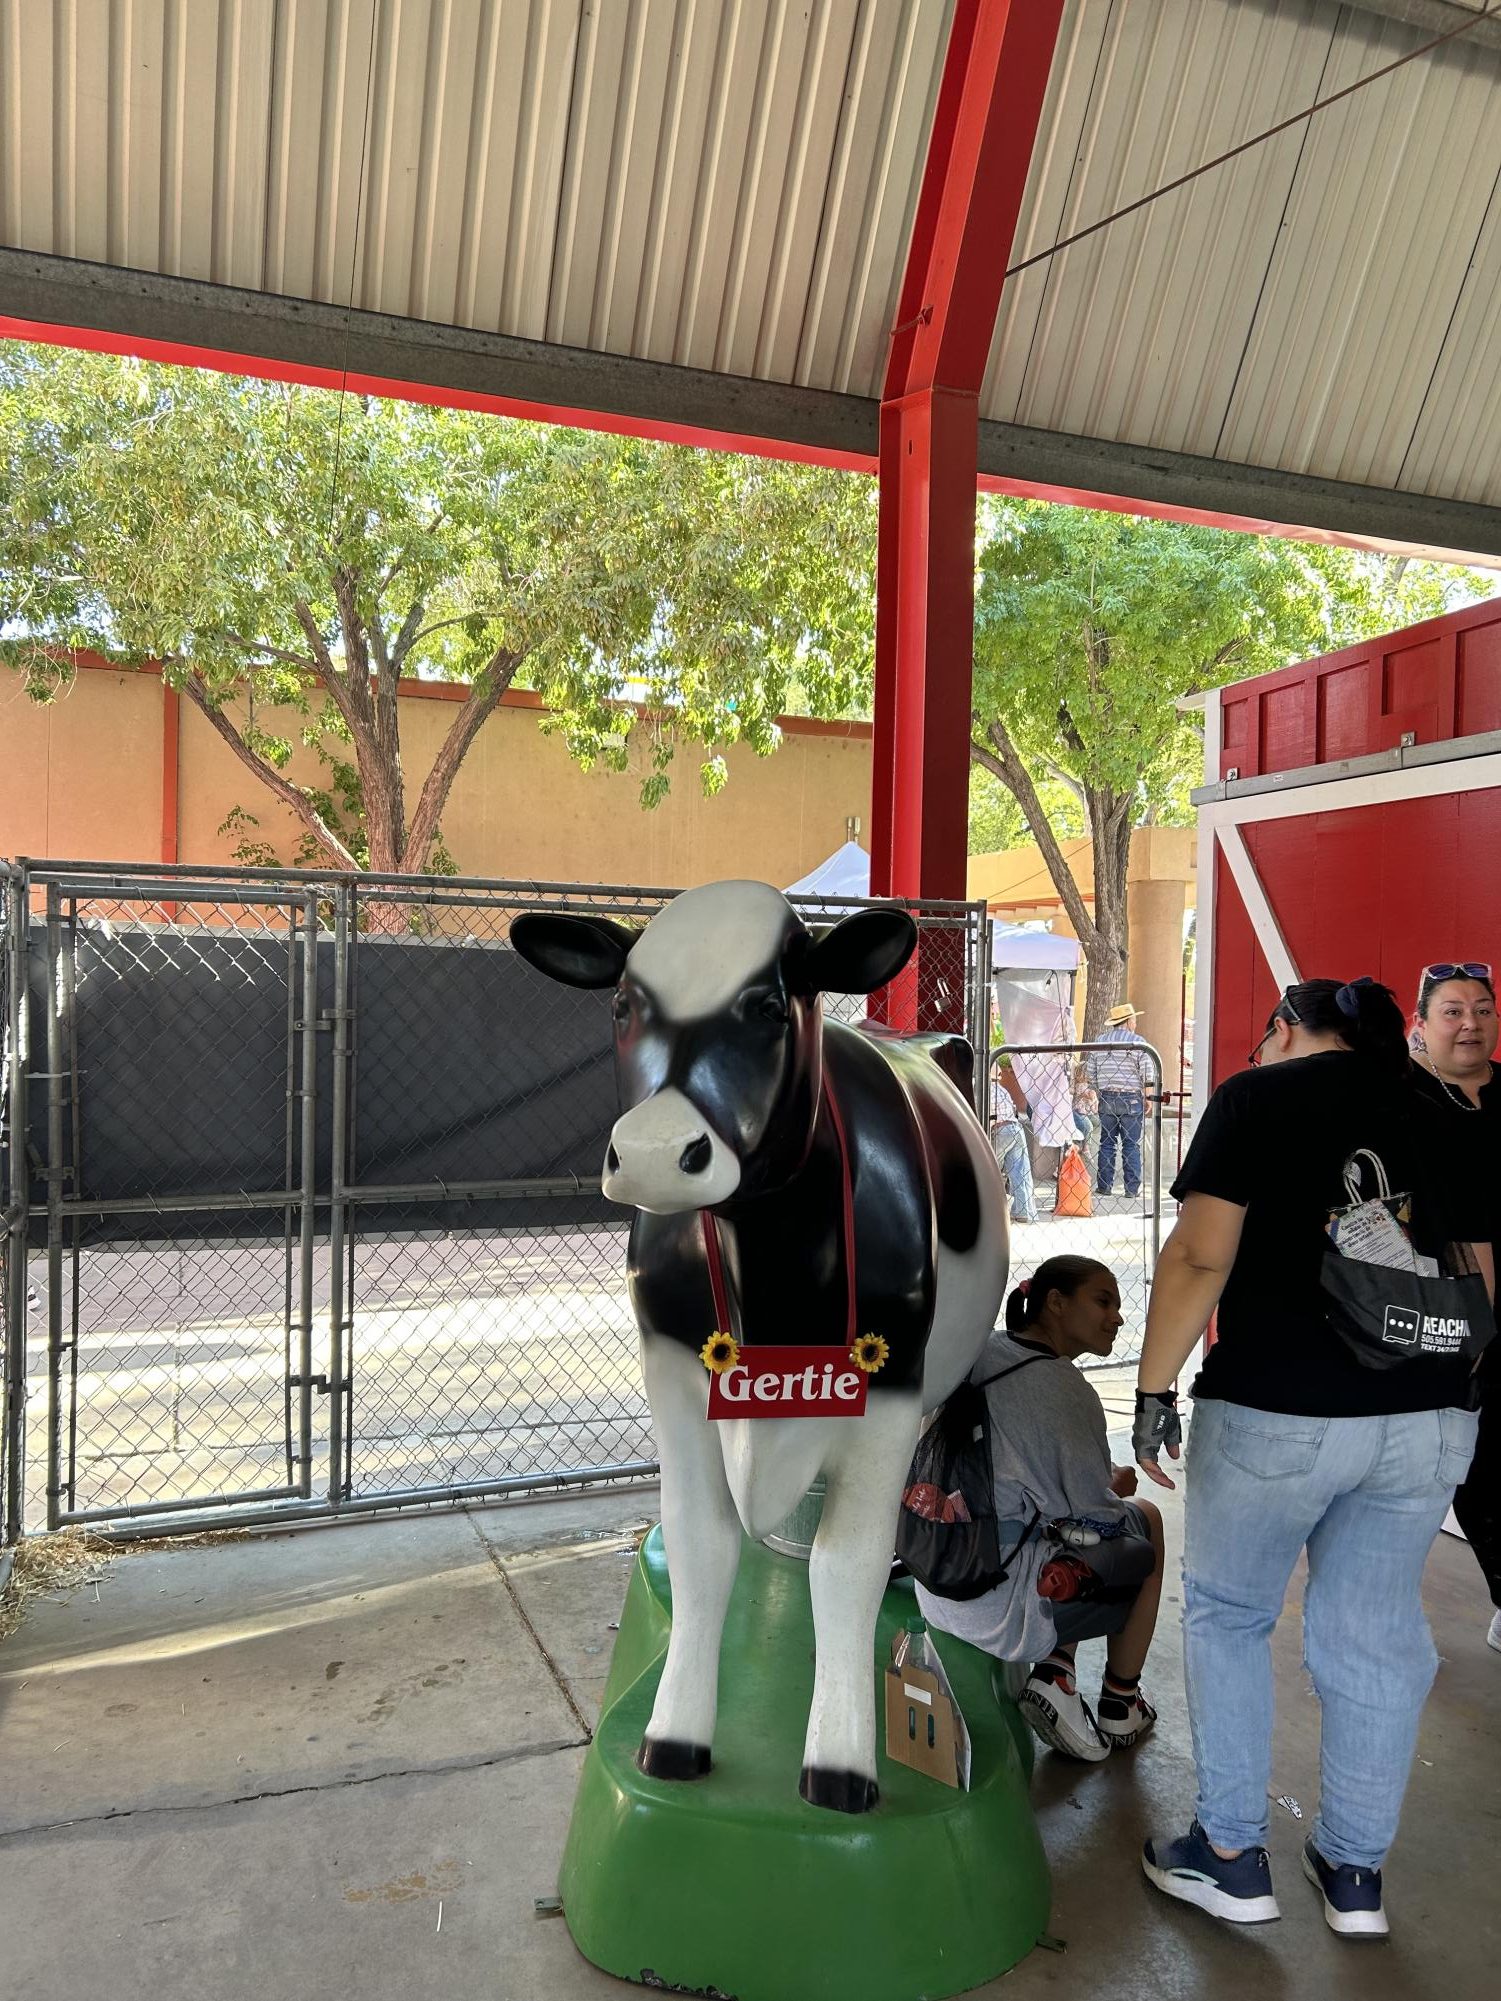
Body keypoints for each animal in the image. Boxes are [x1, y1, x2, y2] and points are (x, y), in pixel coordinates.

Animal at [508, 880, 1012, 1816]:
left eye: (770, 1006)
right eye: (623, 1005)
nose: (652, 1154)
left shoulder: (891, 1390)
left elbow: (843, 1567)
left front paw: (842, 1759)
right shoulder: (671, 1370)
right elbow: (700, 1548)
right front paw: (673, 1735)